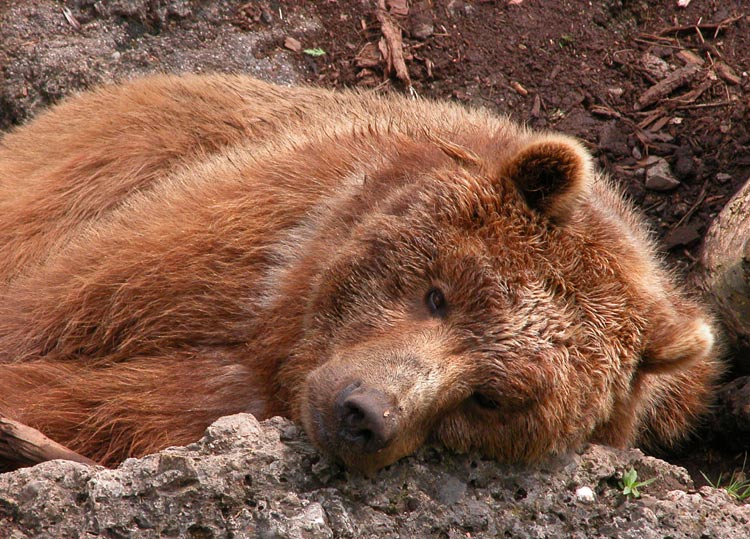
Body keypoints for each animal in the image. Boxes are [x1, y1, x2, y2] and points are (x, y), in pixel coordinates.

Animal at [0, 73, 724, 472]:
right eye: (439, 293)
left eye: (490, 398)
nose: (363, 412)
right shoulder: (243, 242)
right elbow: (57, 316)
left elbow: (113, 405)